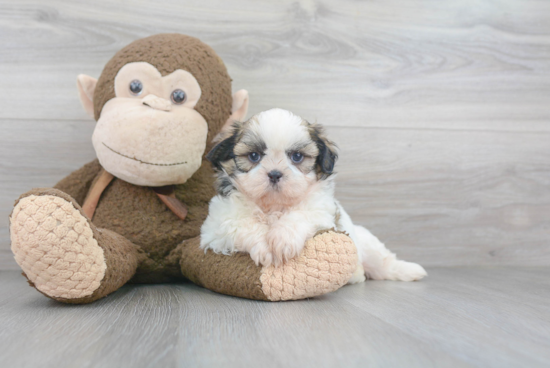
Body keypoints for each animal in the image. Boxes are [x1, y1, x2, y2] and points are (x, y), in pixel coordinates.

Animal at [201, 108, 430, 284]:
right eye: (254, 156)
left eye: (297, 157)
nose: (274, 174)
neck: (273, 206)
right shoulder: (217, 225)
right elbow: (242, 223)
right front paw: (264, 246)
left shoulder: (321, 211)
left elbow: (300, 215)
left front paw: (282, 239)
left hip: (366, 243)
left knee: (383, 263)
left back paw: (410, 270)